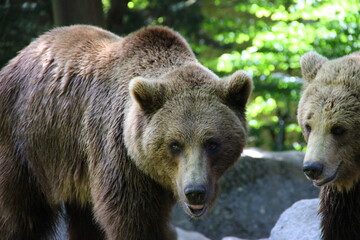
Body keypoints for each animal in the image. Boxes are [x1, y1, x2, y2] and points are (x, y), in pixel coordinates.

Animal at [0, 25, 253, 239]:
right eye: (174, 144)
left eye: (212, 143)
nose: (195, 191)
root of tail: (16, 58)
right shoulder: (118, 155)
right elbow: (134, 221)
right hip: (27, 143)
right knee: (20, 213)